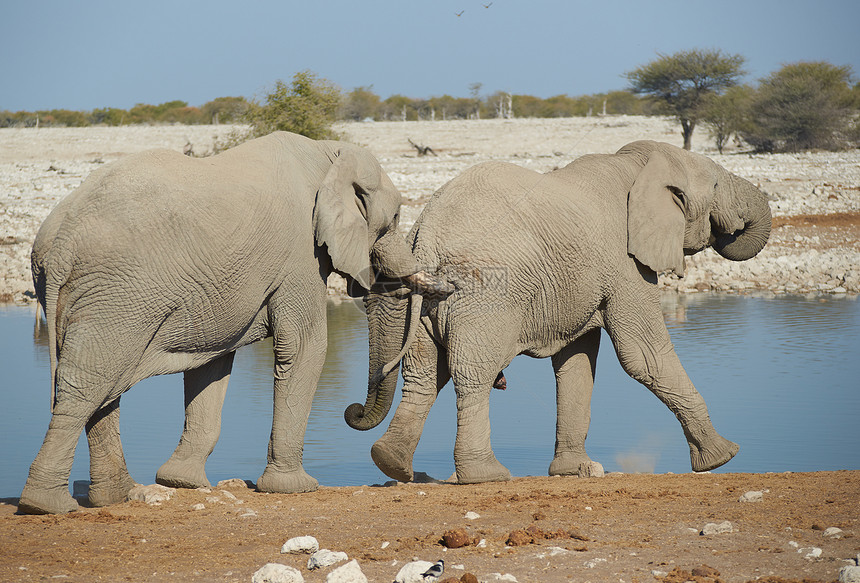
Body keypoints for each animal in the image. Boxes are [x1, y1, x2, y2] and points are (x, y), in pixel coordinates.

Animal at [20, 132, 450, 516]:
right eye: (395, 218)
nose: (353, 411)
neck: (329, 153)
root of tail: (59, 244)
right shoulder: (300, 254)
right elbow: (306, 345)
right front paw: (294, 488)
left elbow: (210, 362)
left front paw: (181, 483)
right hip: (118, 293)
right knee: (89, 381)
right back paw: (46, 505)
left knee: (107, 384)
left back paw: (117, 497)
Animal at [342, 140, 772, 484]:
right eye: (715, 186)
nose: (731, 227)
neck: (637, 163)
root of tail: (425, 235)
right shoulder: (626, 264)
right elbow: (643, 356)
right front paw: (722, 457)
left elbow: (577, 360)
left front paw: (573, 471)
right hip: (486, 298)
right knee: (472, 374)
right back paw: (485, 476)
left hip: (424, 308)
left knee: (425, 375)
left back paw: (392, 464)